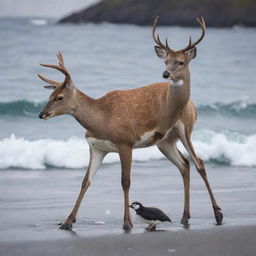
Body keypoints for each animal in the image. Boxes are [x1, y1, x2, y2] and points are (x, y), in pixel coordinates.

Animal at [37, 17, 222, 230]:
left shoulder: (125, 143)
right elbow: (86, 181)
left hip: (186, 129)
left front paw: (127, 223)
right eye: (49, 95)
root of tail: (192, 103)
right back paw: (185, 217)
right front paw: (67, 222)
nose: (42, 114)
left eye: (59, 97)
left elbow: (125, 181)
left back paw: (218, 215)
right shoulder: (96, 147)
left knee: (199, 163)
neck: (101, 118)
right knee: (184, 164)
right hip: (165, 141)